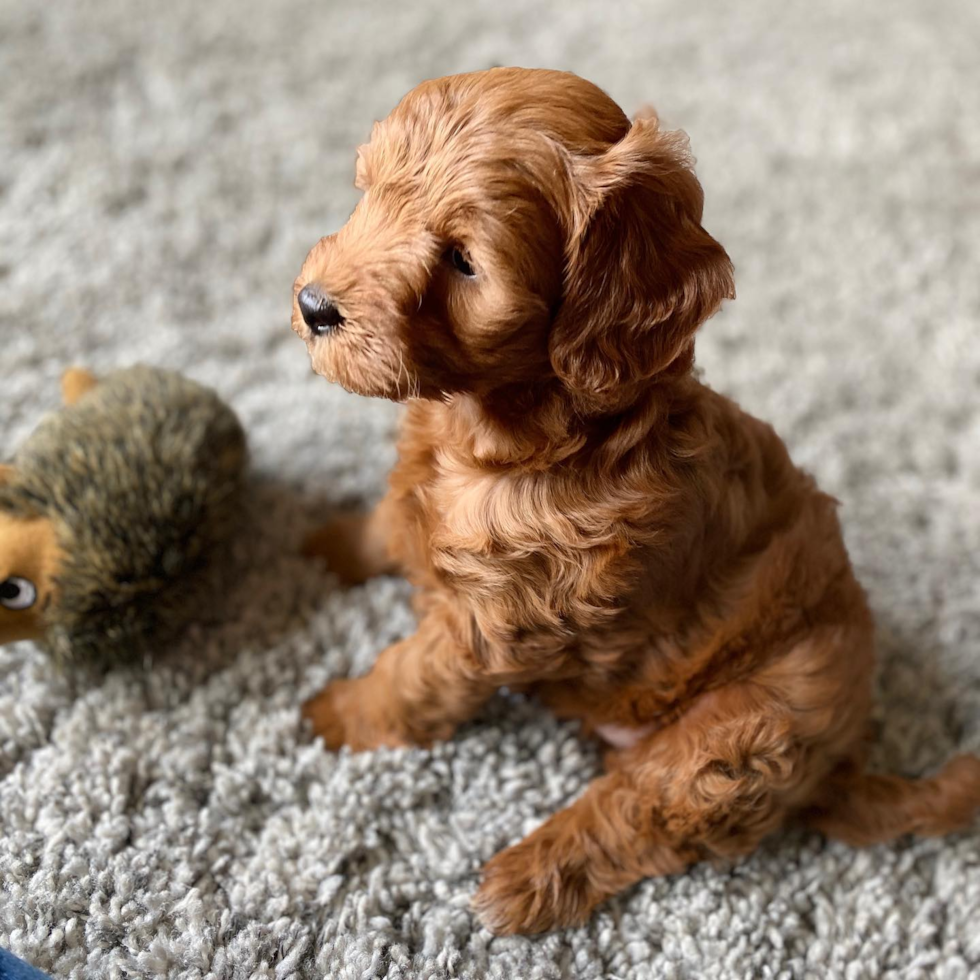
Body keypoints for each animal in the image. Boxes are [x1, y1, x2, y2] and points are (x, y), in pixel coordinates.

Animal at [290, 67, 980, 936]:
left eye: (462, 261)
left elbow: (410, 678)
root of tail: (842, 759)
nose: (314, 307)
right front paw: (325, 544)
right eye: (372, 192)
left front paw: (336, 714)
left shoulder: (498, 620)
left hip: (739, 733)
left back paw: (526, 880)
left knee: (636, 816)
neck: (507, 430)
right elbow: (388, 524)